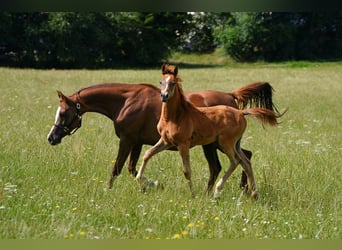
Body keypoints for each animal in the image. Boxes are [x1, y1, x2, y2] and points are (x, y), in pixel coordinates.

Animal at [46, 80, 280, 191]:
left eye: (64, 113)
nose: (51, 138)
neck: (126, 101)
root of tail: (232, 97)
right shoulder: (138, 143)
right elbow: (132, 168)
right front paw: (153, 185)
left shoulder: (127, 140)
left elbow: (117, 168)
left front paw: (108, 190)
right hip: (215, 145)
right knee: (237, 159)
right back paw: (237, 189)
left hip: (216, 144)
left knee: (234, 161)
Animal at [136, 64, 284, 199]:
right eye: (161, 82)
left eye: (173, 83)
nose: (164, 96)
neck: (175, 116)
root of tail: (241, 112)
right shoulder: (165, 141)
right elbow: (147, 154)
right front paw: (140, 180)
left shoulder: (183, 144)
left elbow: (187, 171)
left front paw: (193, 194)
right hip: (234, 144)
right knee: (246, 162)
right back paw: (254, 194)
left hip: (225, 143)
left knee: (235, 161)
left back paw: (217, 192)